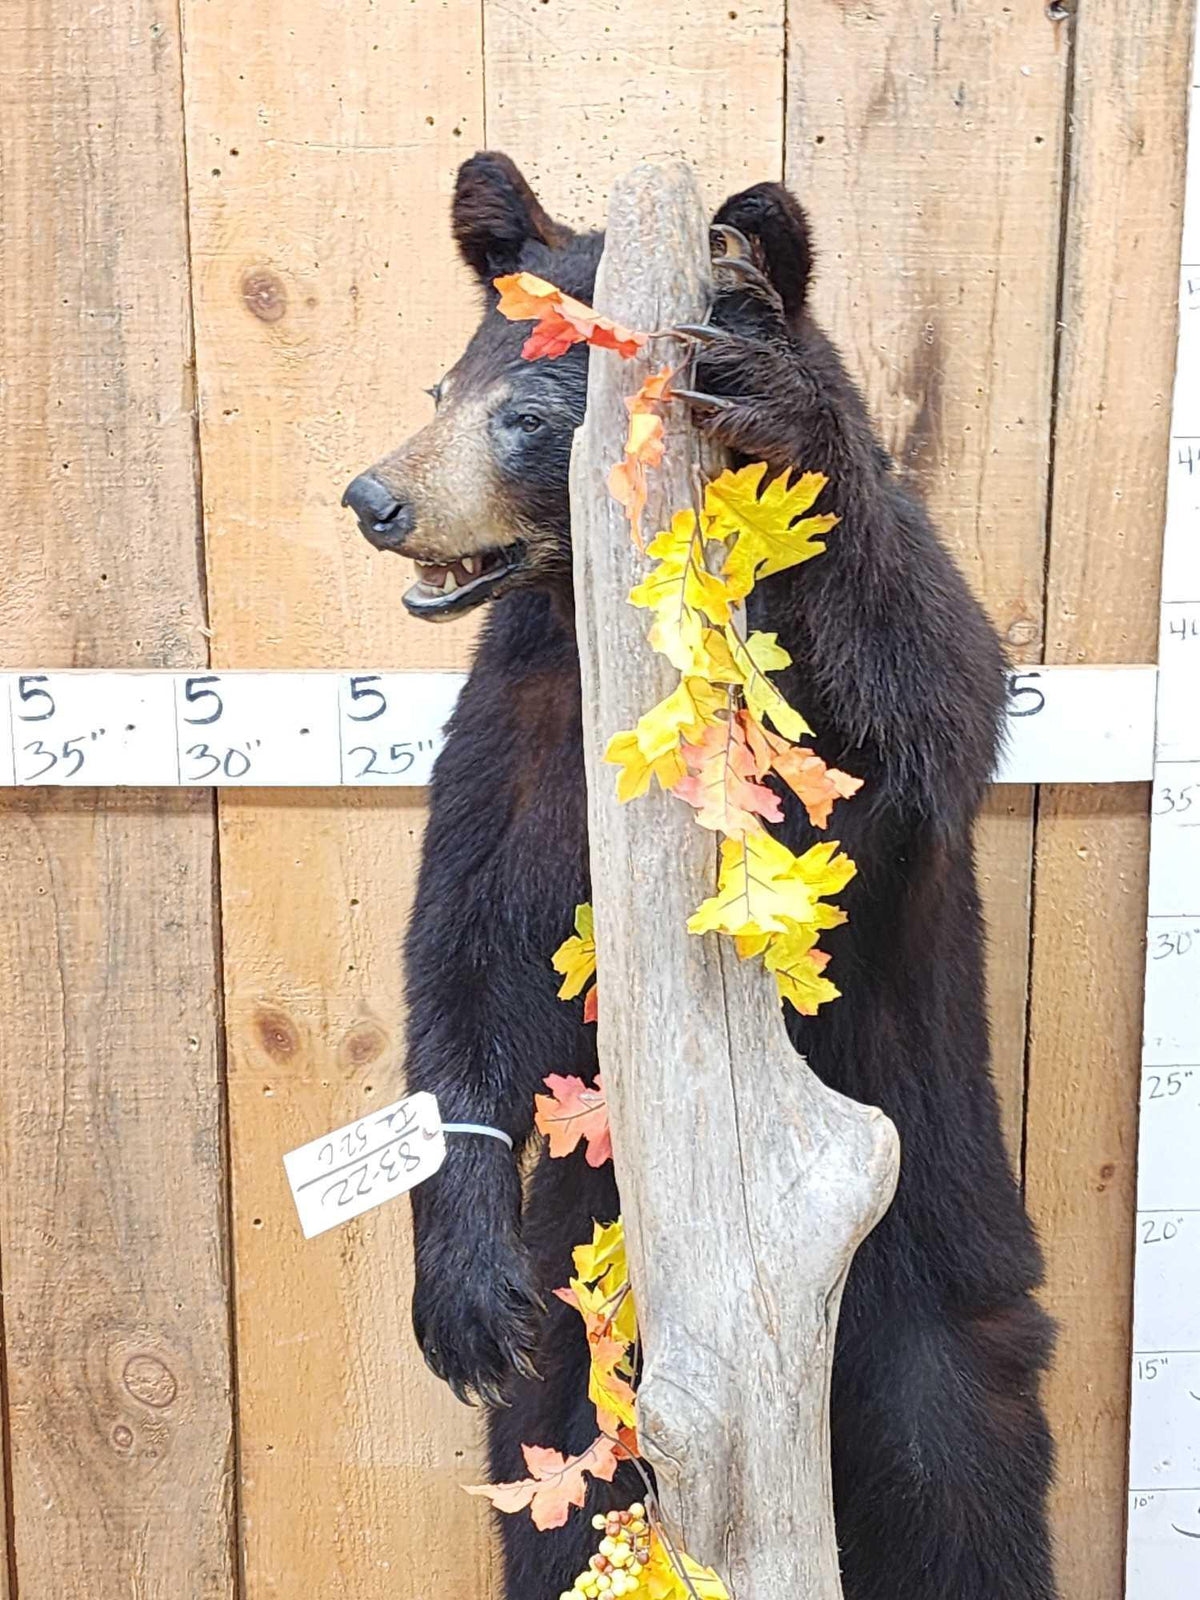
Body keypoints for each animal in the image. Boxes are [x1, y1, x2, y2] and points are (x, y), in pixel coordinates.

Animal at [343, 152, 1058, 1600]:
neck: (604, 622)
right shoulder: (522, 727)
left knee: (968, 1488)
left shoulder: (866, 721)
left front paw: (772, 404)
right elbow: (465, 954)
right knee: (560, 1497)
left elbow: (934, 694)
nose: (378, 499)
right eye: (446, 389)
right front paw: (462, 1291)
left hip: (940, 1276)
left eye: (533, 412)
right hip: (594, 1336)